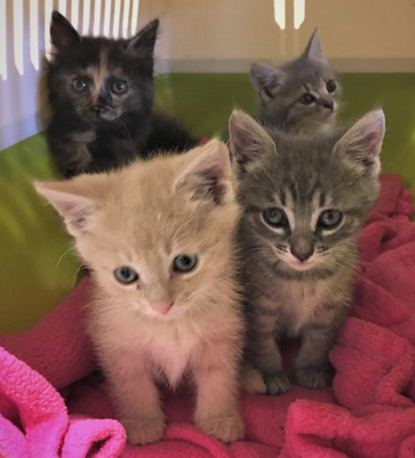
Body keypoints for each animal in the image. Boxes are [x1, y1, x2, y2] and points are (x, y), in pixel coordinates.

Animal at [35, 140, 245, 444]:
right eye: (125, 275)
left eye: (185, 262)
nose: (162, 306)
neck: (171, 326)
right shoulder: (118, 345)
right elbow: (133, 384)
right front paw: (142, 423)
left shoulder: (221, 334)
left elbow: (219, 376)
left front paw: (219, 419)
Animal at [229, 108, 386, 394]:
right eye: (274, 216)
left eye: (330, 218)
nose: (301, 253)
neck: (301, 279)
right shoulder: (256, 307)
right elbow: (262, 342)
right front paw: (270, 373)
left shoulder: (331, 306)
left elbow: (319, 339)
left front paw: (311, 368)